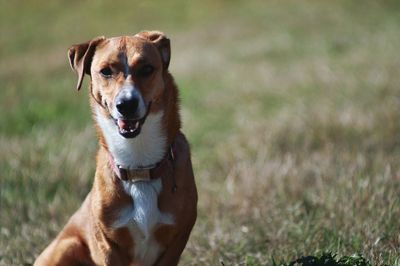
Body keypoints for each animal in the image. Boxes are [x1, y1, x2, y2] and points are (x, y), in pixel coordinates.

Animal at [35, 31, 198, 266]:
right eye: (106, 71)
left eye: (147, 69)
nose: (126, 104)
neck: (139, 165)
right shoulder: (107, 245)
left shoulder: (176, 240)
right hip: (67, 246)